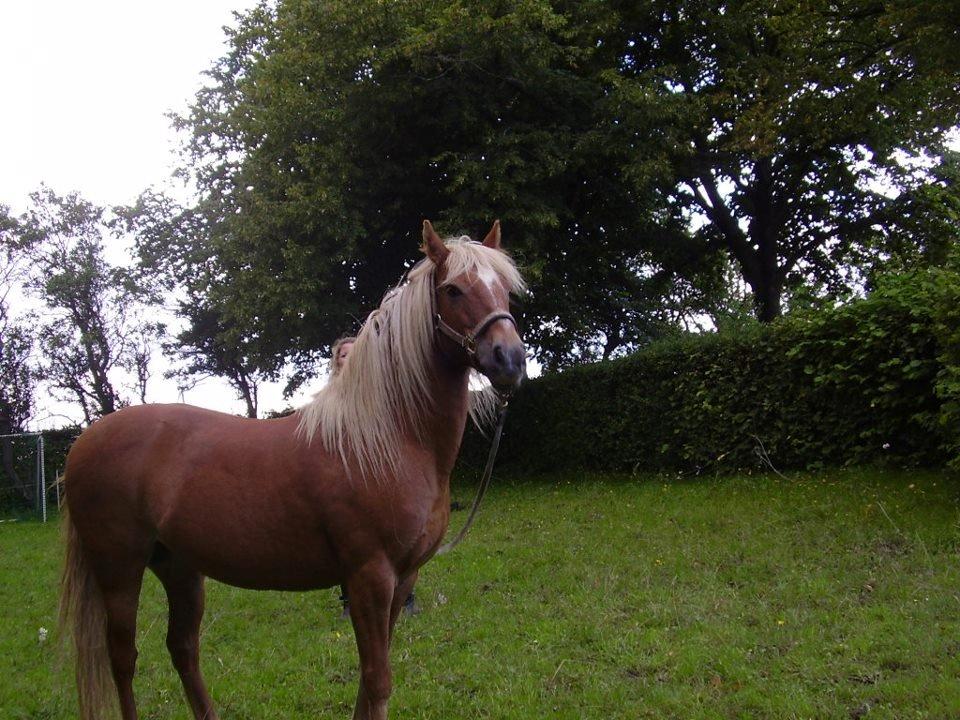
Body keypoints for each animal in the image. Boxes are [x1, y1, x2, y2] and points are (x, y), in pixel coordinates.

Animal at [59, 220, 527, 720]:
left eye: (505, 290)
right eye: (453, 290)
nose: (510, 360)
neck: (388, 439)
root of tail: (82, 442)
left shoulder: (403, 579)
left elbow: (368, 683)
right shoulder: (370, 577)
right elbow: (378, 681)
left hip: (180, 567)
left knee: (182, 648)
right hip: (119, 569)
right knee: (122, 658)